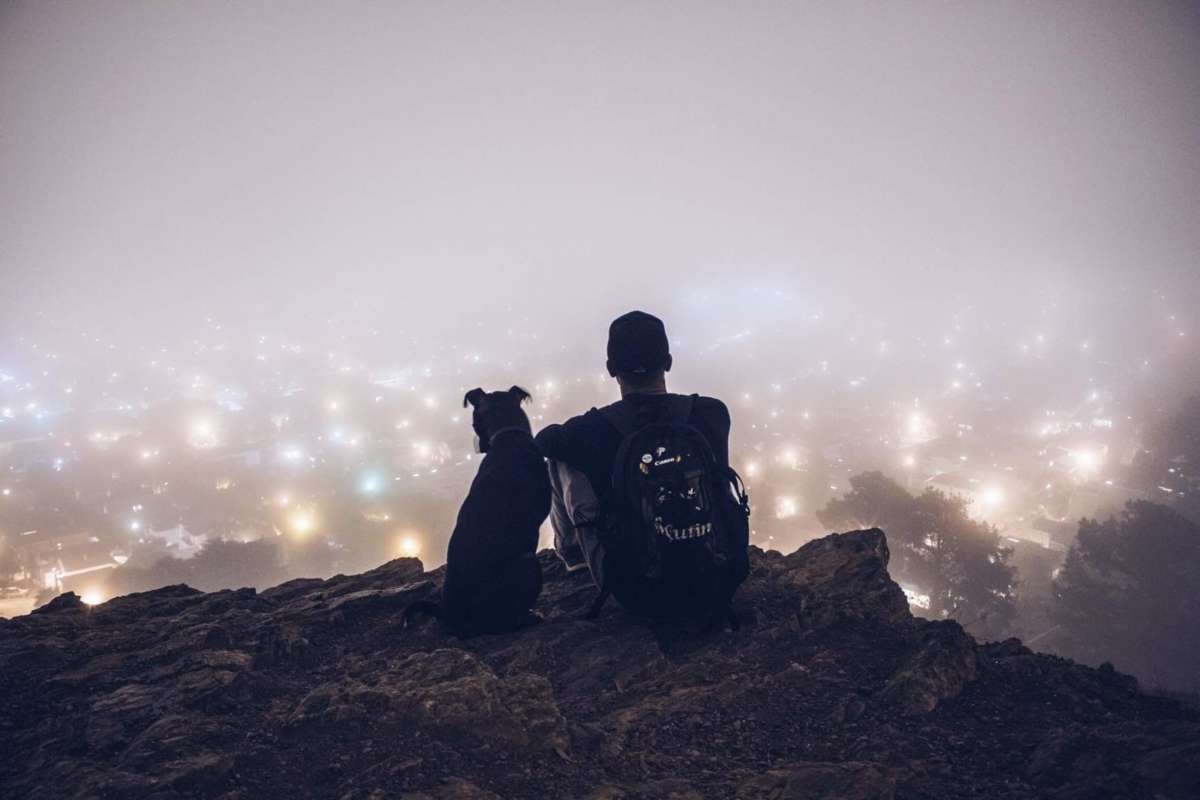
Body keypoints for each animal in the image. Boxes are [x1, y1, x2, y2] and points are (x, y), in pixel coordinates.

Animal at [405, 388, 549, 638]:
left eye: (473, 423)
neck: (507, 436)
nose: (479, 446)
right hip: (528, 563)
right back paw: (525, 618)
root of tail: (449, 616)